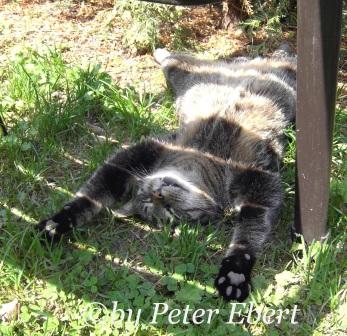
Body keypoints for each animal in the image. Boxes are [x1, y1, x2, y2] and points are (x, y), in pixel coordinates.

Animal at [38, 47, 298, 302]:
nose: (158, 192)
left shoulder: (259, 186)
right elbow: (89, 199)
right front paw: (59, 222)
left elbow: (248, 234)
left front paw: (235, 271)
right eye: (166, 211)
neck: (201, 160)